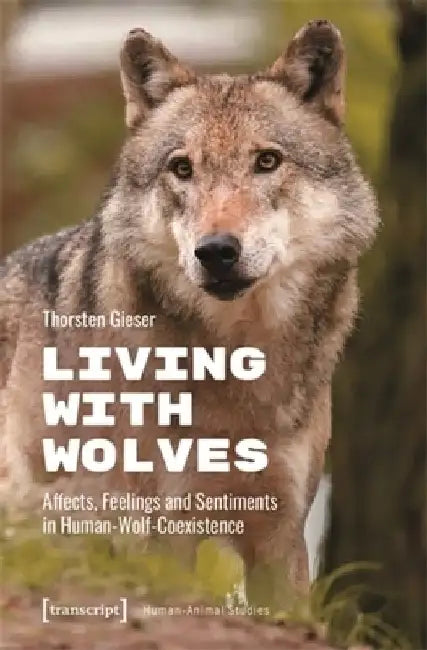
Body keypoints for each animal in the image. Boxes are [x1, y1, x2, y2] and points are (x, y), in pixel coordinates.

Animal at [0, 20, 377, 599]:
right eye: (182, 168)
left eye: (267, 161)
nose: (216, 251)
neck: (237, 366)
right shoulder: (163, 533)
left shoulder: (281, 536)